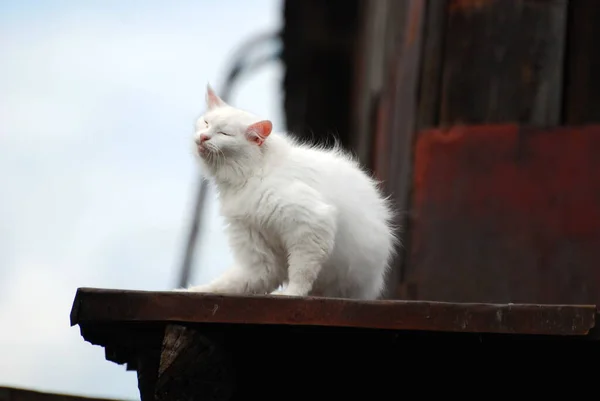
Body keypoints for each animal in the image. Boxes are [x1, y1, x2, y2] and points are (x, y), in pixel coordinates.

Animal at [183, 83, 398, 296]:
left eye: (224, 134)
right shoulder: (257, 249)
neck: (251, 174)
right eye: (206, 123)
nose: (203, 137)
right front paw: (195, 290)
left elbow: (301, 273)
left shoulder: (311, 224)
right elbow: (234, 283)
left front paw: (291, 293)